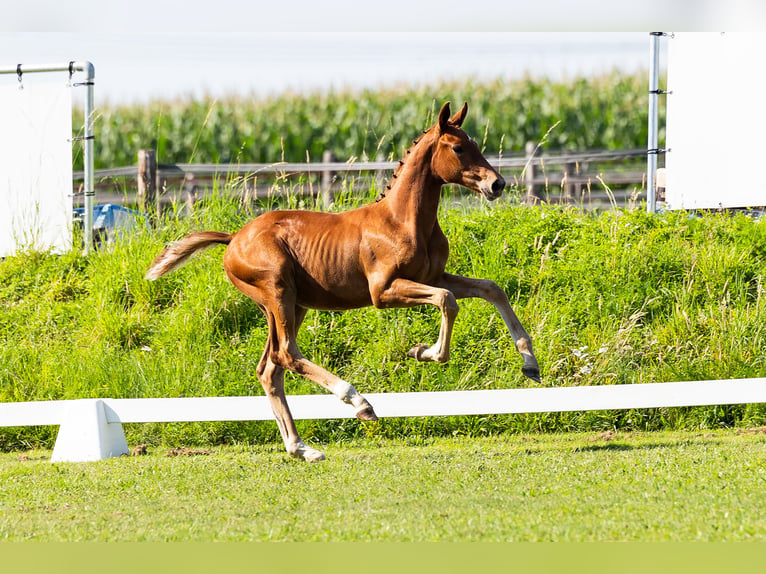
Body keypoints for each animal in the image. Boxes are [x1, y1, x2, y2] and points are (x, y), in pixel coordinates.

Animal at [146, 102, 540, 464]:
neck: (402, 220)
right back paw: (359, 403)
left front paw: (530, 364)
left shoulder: (432, 276)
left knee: (270, 368)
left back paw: (302, 448)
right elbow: (446, 300)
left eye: (475, 144)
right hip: (278, 293)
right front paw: (424, 352)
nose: (497, 183)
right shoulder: (384, 291)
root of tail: (233, 239)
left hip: (291, 305)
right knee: (287, 354)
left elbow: (490, 288)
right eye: (458, 148)